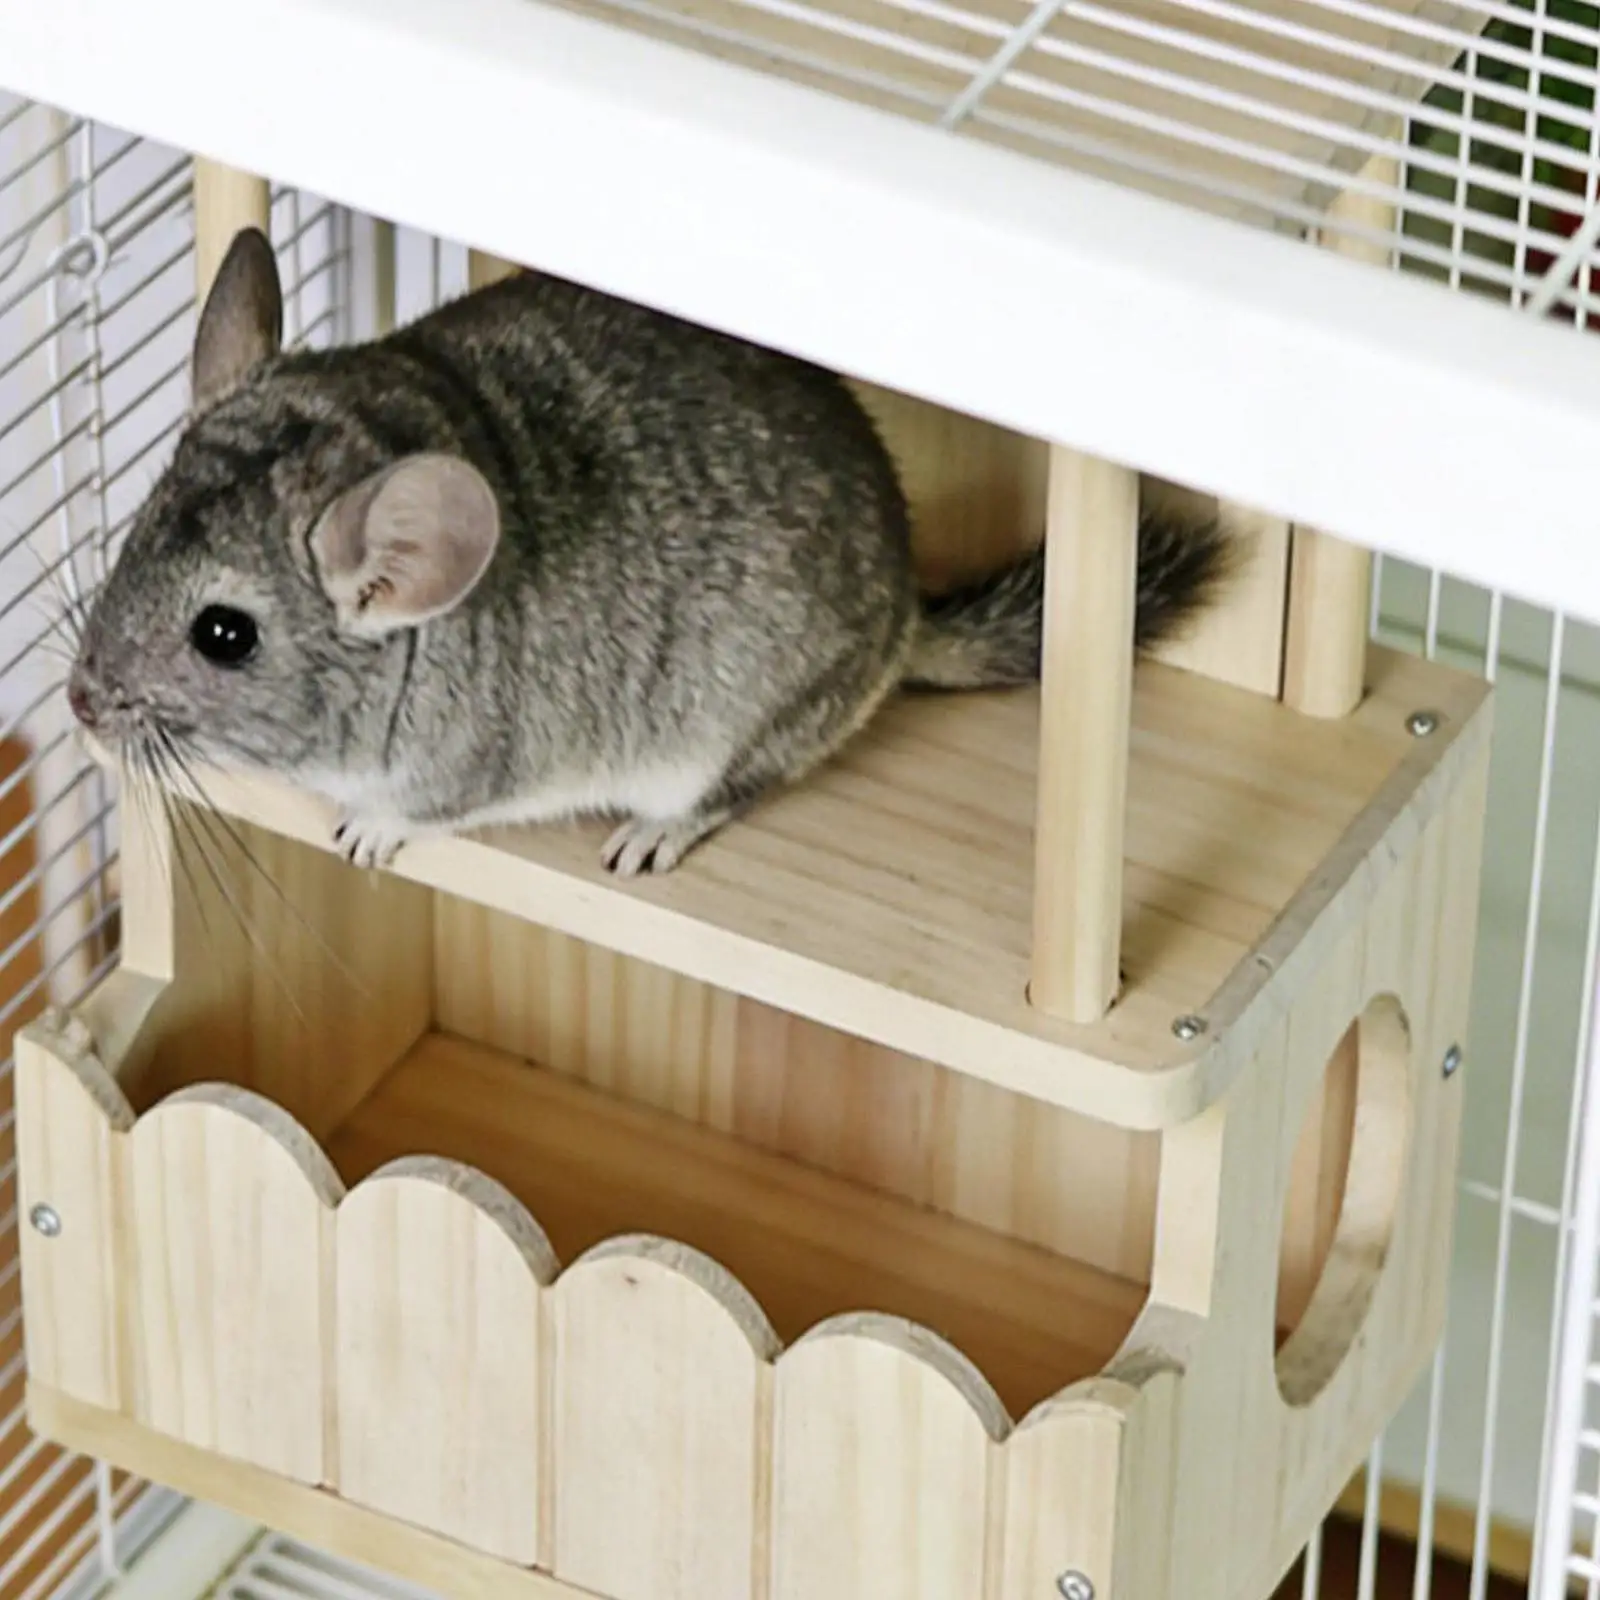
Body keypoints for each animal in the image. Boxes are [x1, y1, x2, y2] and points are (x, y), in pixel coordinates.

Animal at [66, 227, 1228, 876]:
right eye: (131, 532)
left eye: (224, 635)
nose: (78, 704)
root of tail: (906, 605)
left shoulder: (469, 764)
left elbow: (415, 809)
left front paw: (364, 833)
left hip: (743, 722)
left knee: (737, 785)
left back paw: (651, 837)